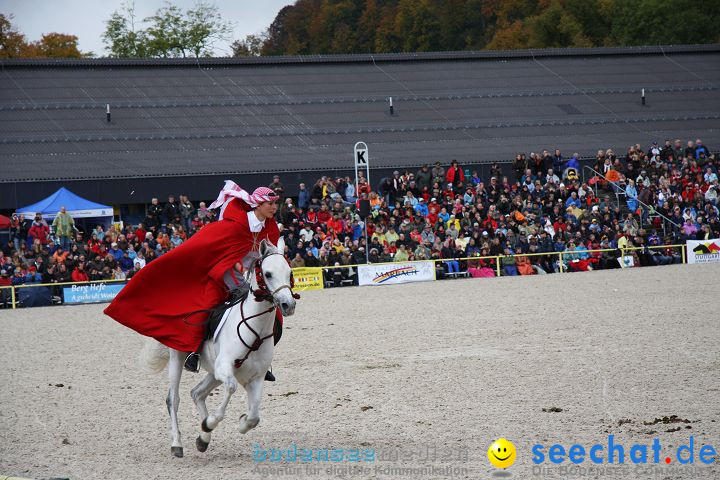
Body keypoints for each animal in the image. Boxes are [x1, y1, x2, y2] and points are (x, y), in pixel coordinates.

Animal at [139, 238, 296, 456]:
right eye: (268, 274)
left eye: (289, 272)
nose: (288, 305)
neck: (254, 330)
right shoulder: (225, 368)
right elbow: (230, 388)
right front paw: (210, 422)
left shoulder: (256, 378)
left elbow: (254, 417)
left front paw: (236, 423)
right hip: (178, 359)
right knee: (174, 399)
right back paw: (177, 443)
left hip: (213, 372)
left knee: (196, 393)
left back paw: (203, 439)